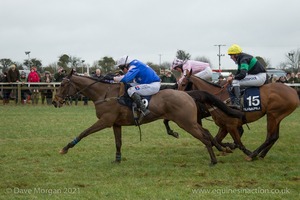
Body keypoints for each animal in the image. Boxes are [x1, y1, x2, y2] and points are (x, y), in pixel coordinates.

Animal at [52, 71, 241, 165]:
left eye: (62, 84)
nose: (55, 101)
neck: (105, 94)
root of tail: (187, 94)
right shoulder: (115, 124)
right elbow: (118, 142)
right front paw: (117, 159)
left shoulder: (105, 121)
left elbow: (84, 132)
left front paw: (65, 148)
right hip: (189, 121)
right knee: (207, 132)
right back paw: (223, 148)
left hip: (186, 122)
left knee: (204, 136)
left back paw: (214, 160)